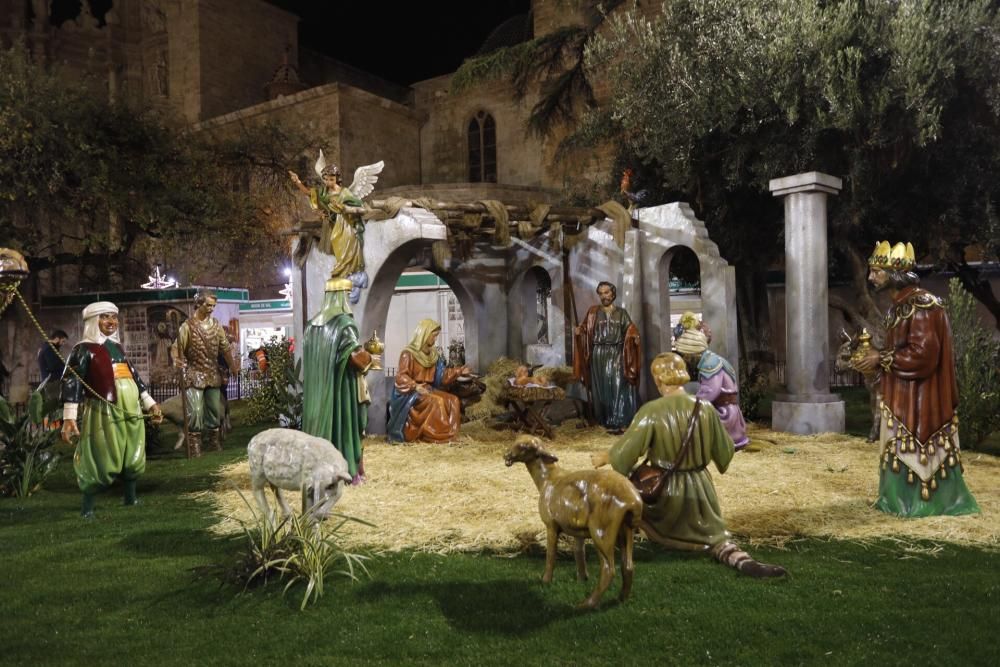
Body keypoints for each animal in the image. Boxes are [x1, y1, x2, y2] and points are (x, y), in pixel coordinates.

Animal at [504, 436, 644, 608]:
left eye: (524, 446)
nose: (506, 456)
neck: (548, 478)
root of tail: (634, 501)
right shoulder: (578, 530)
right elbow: (579, 552)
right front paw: (582, 578)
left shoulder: (551, 525)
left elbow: (551, 554)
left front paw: (546, 580)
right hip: (626, 529)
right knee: (628, 566)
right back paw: (621, 599)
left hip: (602, 531)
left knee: (608, 569)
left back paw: (586, 604)